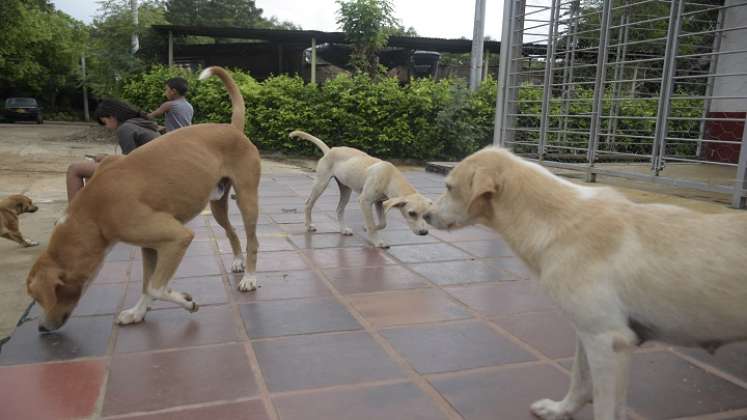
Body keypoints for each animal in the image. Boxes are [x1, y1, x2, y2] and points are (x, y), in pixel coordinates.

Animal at [26, 67, 262, 334]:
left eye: (38, 298)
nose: (41, 328)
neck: (93, 213)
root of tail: (233, 129)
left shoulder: (178, 238)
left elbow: (155, 287)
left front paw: (186, 302)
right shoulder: (150, 246)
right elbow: (146, 284)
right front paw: (137, 312)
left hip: (247, 200)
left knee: (253, 241)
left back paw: (249, 278)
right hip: (217, 204)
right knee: (232, 231)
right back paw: (237, 261)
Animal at [290, 130, 432, 249]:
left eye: (425, 215)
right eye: (411, 213)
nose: (424, 232)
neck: (390, 176)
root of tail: (330, 150)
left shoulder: (380, 202)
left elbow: (382, 223)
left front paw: (366, 228)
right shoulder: (365, 201)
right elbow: (371, 223)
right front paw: (377, 241)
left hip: (346, 189)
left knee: (339, 209)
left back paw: (343, 229)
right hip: (321, 183)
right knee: (308, 204)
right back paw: (309, 225)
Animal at [424, 146, 747, 418]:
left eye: (449, 187)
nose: (425, 215)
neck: (559, 223)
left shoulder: (609, 341)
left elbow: (605, 408)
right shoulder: (587, 333)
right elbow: (578, 379)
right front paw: (560, 410)